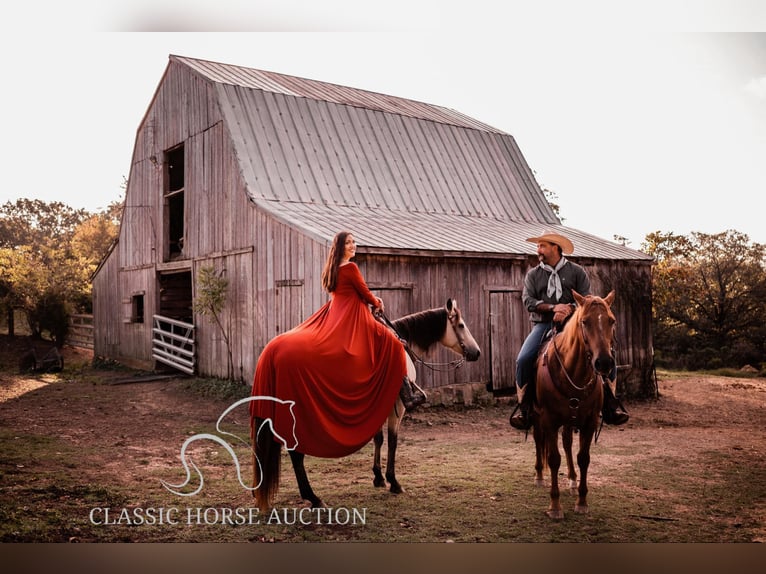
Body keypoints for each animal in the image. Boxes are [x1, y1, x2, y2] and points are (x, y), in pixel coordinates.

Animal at [252, 300, 480, 510]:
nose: (476, 353)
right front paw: (394, 482)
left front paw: (378, 477)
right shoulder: (398, 406)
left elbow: (378, 439)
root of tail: (270, 354)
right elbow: (393, 441)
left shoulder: (378, 403)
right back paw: (314, 498)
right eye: (461, 325)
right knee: (296, 454)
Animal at [536, 290, 616, 520]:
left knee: (567, 443)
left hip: (570, 421)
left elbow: (584, 458)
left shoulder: (589, 422)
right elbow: (554, 459)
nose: (604, 362)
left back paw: (572, 479)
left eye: (611, 321)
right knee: (538, 441)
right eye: (584, 322)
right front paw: (555, 506)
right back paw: (539, 476)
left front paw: (582, 501)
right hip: (537, 418)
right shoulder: (549, 420)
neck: (574, 373)